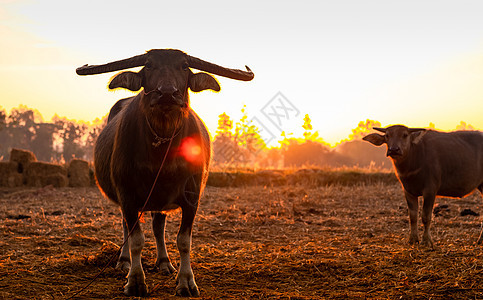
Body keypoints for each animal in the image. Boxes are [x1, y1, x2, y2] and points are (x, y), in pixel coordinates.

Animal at [75, 48, 253, 296]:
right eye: (149, 65)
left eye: (184, 66)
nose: (167, 93)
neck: (162, 149)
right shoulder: (127, 195)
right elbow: (136, 239)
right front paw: (135, 281)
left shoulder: (192, 197)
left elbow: (184, 240)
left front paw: (186, 281)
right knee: (127, 227)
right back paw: (124, 261)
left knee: (158, 226)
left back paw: (164, 262)